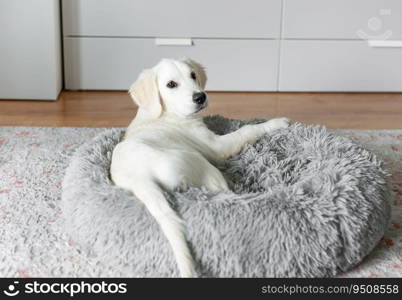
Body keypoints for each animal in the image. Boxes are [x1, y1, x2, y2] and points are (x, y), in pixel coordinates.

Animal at [111, 58, 290, 276]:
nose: (200, 97)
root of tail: (139, 179)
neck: (165, 113)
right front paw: (276, 122)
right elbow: (246, 129)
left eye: (193, 75)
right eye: (171, 84)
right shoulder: (216, 146)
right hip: (201, 164)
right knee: (225, 191)